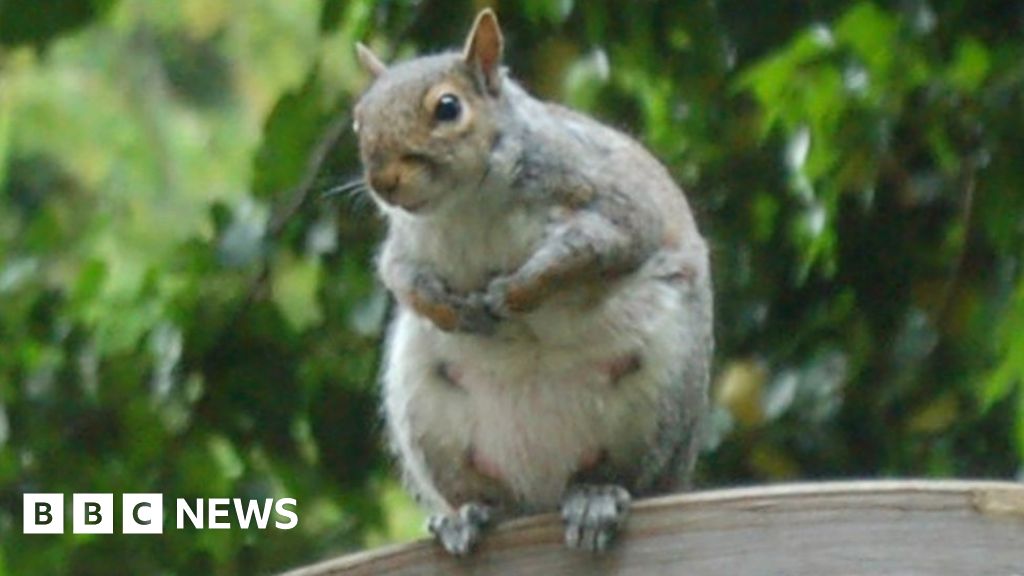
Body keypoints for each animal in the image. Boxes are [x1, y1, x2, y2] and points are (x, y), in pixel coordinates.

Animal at [352, 8, 712, 553]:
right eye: (358, 119)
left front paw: (518, 290)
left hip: (661, 391)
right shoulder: (405, 244)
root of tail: (542, 489)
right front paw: (449, 308)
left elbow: (595, 247)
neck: (465, 205)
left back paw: (595, 498)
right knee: (484, 495)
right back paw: (469, 515)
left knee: (625, 474)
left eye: (448, 108)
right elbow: (399, 278)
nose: (382, 182)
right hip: (425, 409)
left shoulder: (605, 198)